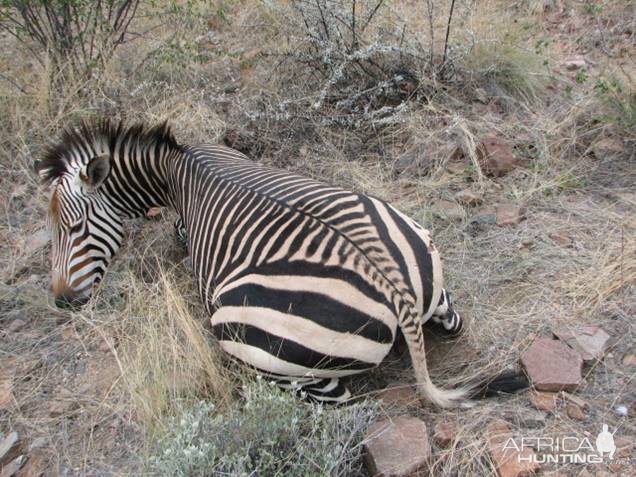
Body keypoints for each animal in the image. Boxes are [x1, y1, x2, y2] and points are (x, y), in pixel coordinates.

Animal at [34, 120, 516, 406]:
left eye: (73, 229)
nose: (61, 301)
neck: (180, 163)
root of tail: (394, 292)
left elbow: (180, 233)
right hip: (429, 277)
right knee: (453, 323)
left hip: (252, 342)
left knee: (338, 399)